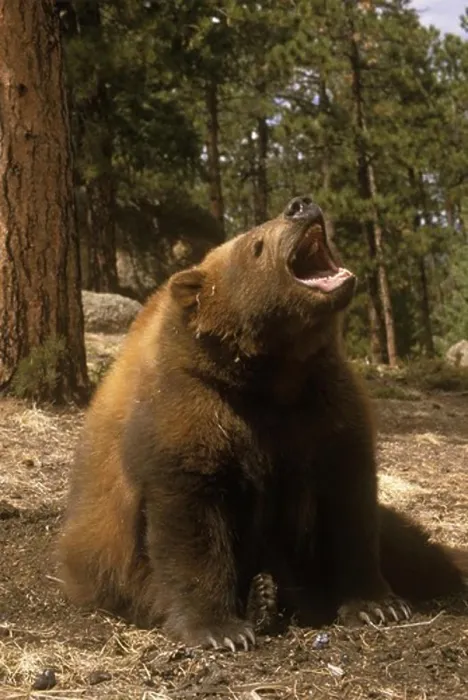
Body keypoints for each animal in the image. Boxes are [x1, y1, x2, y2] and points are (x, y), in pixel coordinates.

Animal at [58, 196, 467, 651]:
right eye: (256, 245)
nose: (300, 205)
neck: (273, 375)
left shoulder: (325, 407)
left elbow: (349, 508)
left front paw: (376, 605)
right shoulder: (189, 412)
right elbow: (190, 519)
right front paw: (220, 631)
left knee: (410, 547)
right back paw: (263, 597)